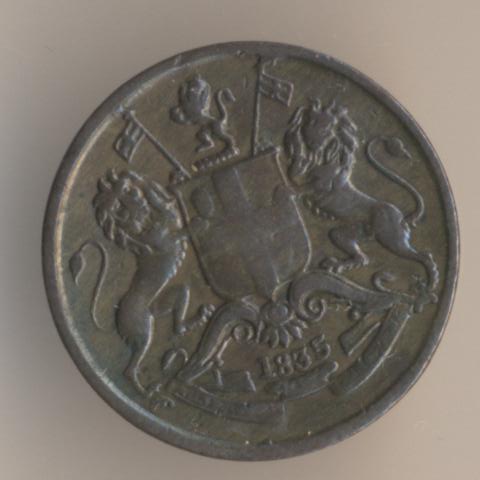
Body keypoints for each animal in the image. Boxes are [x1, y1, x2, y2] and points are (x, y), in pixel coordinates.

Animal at [93, 169, 211, 392]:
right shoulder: (164, 239)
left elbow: (162, 201)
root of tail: (117, 313)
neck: (146, 222)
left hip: (162, 304)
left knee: (179, 316)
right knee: (129, 370)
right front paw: (197, 223)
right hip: (143, 330)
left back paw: (196, 320)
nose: (136, 202)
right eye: (119, 210)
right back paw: (147, 390)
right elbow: (177, 230)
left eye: (128, 191)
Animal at [284, 99, 438, 291]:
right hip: (346, 233)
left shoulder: (321, 186)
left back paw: (428, 285)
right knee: (361, 257)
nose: (312, 141)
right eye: (310, 123)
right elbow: (295, 169)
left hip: (392, 239)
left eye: (327, 128)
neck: (321, 158)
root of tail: (402, 217)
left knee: (424, 256)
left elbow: (301, 186)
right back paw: (336, 265)